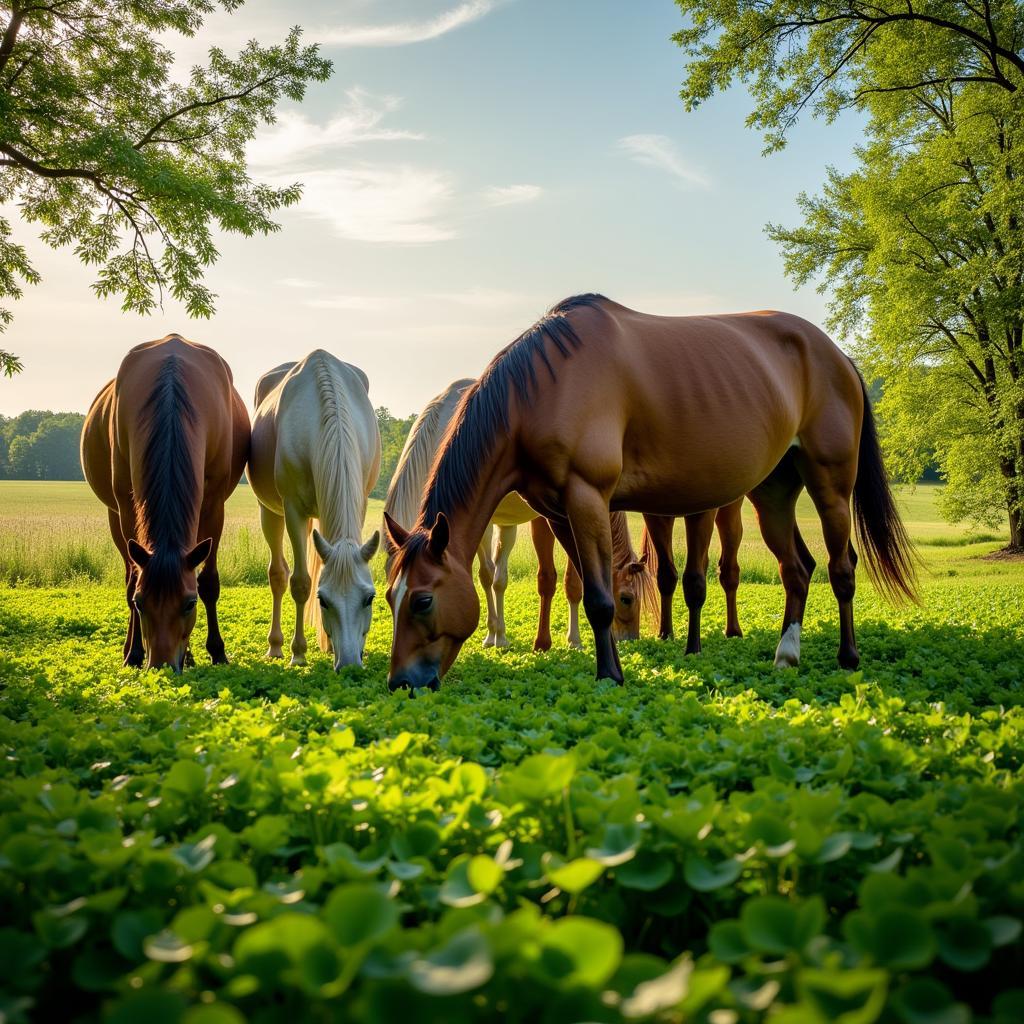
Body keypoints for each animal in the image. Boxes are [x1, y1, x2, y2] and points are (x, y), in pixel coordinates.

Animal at [79, 335, 247, 671]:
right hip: (114, 516)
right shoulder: (127, 507)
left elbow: (208, 581)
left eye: (189, 604)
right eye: (140, 603)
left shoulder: (214, 505)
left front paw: (217, 651)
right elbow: (133, 579)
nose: (161, 665)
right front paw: (133, 653)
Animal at [249, 352, 382, 671]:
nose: (350, 663)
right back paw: (276, 646)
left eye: (369, 598)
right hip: (270, 513)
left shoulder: (359, 503)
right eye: (323, 600)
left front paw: (329, 646)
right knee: (278, 575)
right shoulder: (293, 510)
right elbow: (301, 582)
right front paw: (299, 653)